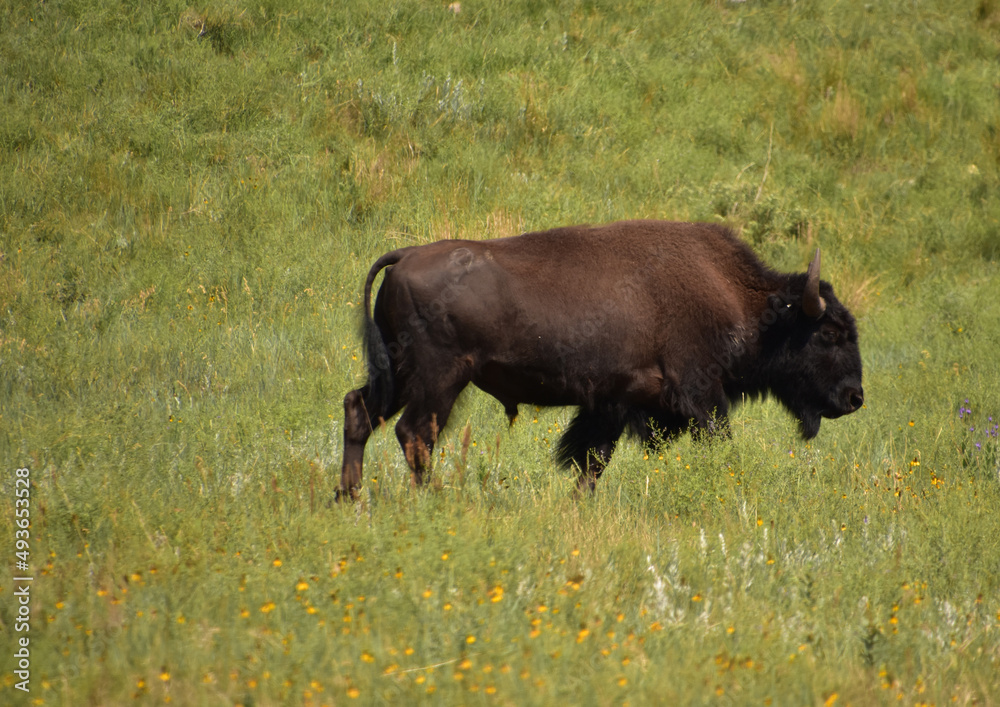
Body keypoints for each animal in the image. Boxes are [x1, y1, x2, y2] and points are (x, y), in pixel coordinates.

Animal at [338, 221, 860, 498]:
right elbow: (718, 441)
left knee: (358, 410)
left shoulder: (612, 405)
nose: (854, 398)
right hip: (438, 380)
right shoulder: (700, 394)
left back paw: (349, 497)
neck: (748, 303)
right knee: (415, 433)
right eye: (829, 333)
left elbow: (591, 460)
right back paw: (432, 499)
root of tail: (405, 257)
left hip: (397, 375)